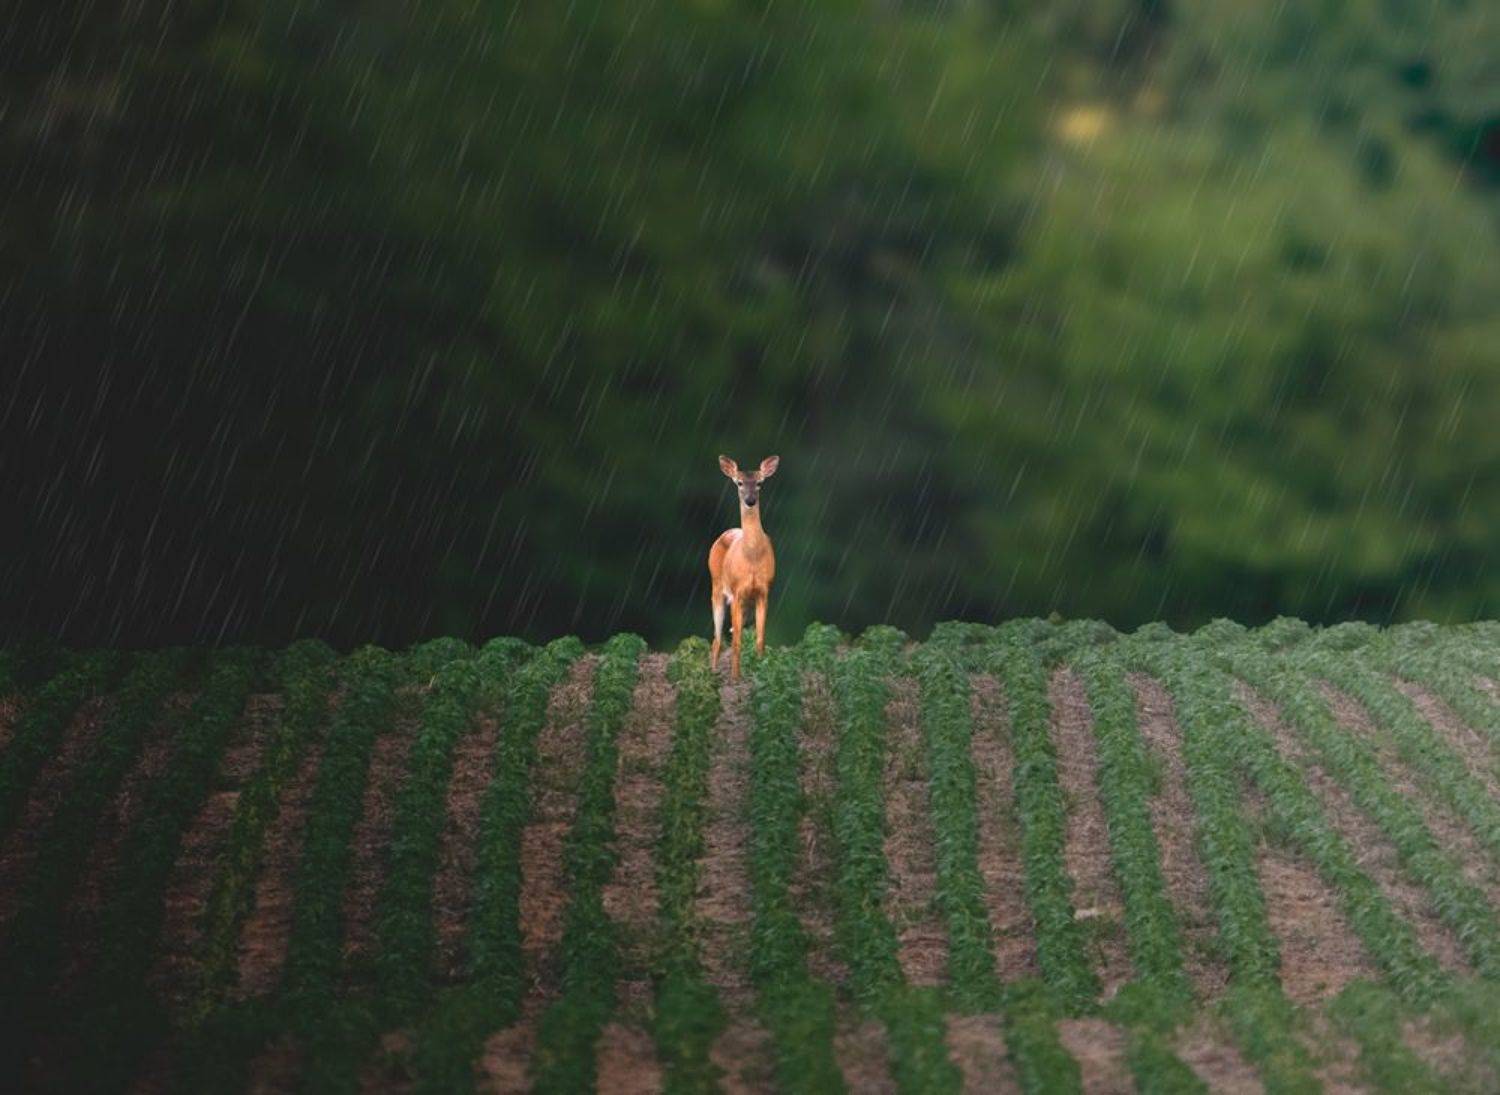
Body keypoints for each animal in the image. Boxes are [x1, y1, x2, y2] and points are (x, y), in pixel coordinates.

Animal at [708, 454, 779, 680]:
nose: (750, 501)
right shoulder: (736, 592)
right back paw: (713, 674)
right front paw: (735, 677)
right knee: (717, 639)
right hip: (717, 587)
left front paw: (760, 670)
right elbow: (738, 640)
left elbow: (760, 638)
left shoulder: (764, 591)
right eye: (739, 483)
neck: (752, 558)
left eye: (759, 483)